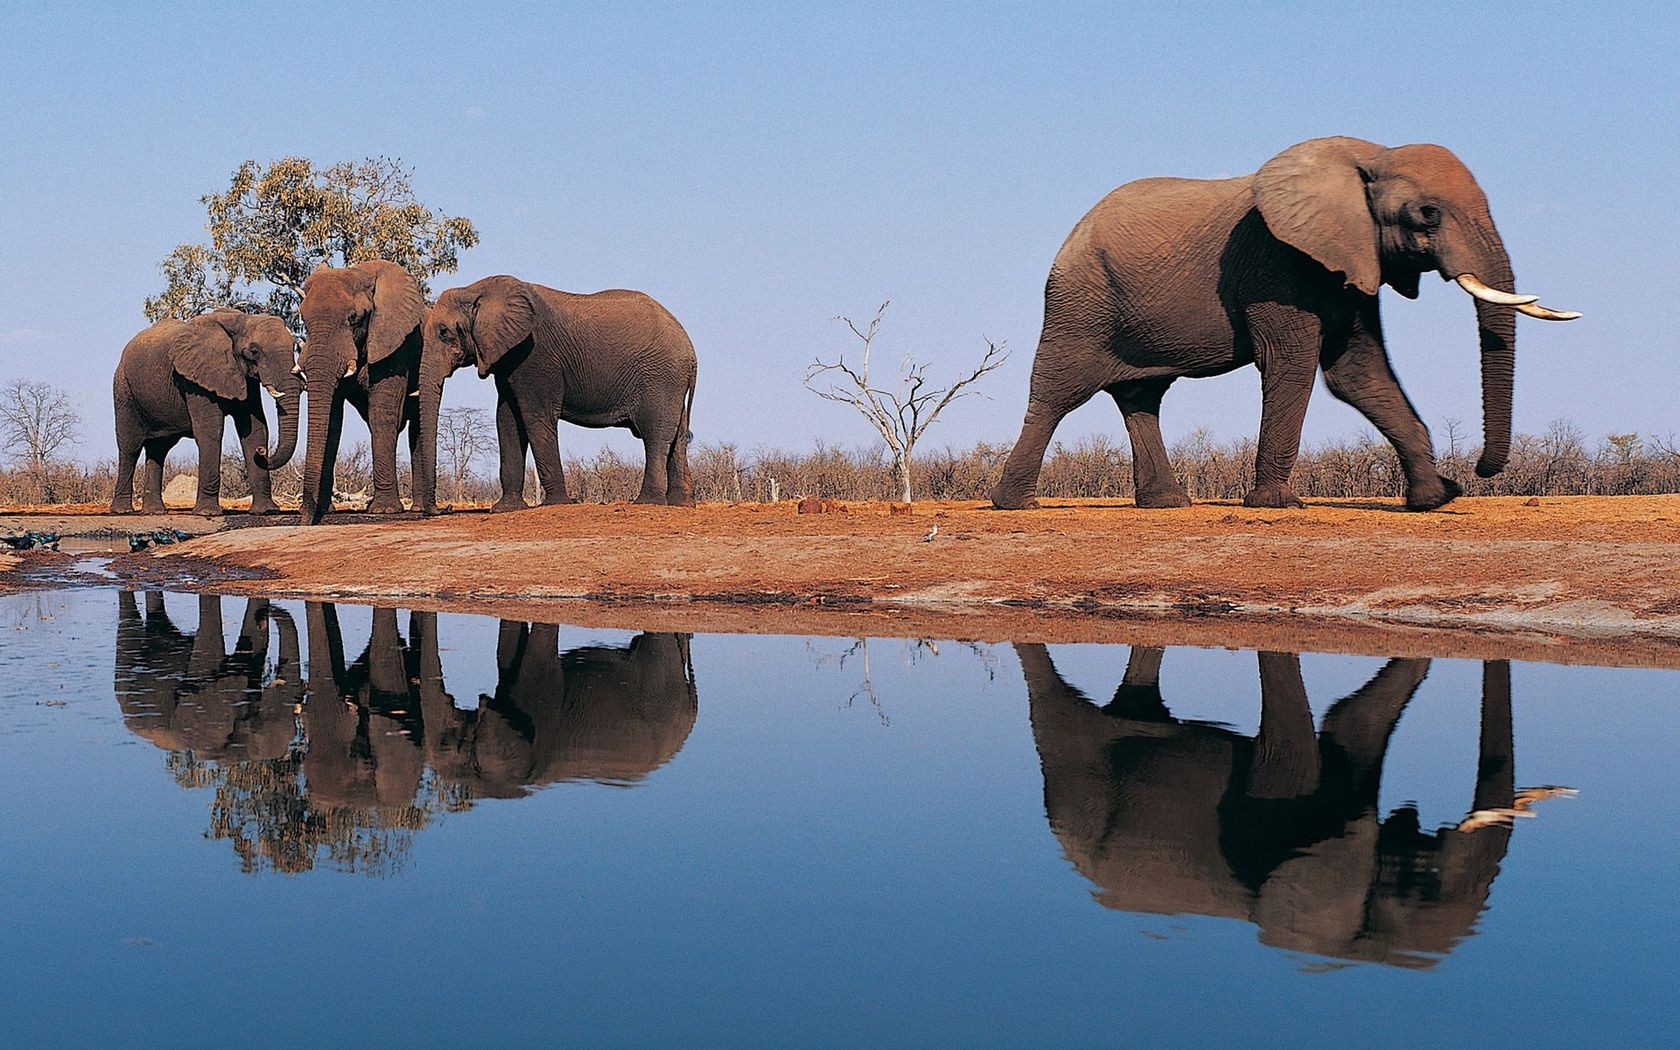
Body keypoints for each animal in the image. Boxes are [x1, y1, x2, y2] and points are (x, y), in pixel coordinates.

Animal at [113, 305, 304, 514]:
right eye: (254, 352)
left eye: (294, 347)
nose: (261, 452)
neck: (241, 319)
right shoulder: (194, 380)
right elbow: (210, 431)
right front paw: (207, 512)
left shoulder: (245, 379)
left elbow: (255, 429)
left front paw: (266, 511)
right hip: (123, 391)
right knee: (129, 447)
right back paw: (122, 511)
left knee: (159, 449)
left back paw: (155, 511)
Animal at [297, 258, 426, 524]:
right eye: (302, 317)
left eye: (354, 317)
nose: (304, 519)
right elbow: (333, 421)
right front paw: (325, 510)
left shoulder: (395, 345)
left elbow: (382, 415)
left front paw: (385, 511)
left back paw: (416, 508)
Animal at [411, 273, 695, 510]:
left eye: (444, 333)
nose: (443, 509)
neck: (476, 290)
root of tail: (691, 350)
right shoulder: (507, 358)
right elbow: (507, 420)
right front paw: (506, 509)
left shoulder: (535, 355)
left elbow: (536, 418)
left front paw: (557, 503)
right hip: (671, 383)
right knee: (678, 436)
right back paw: (681, 505)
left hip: (661, 378)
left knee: (655, 434)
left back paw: (647, 503)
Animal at [987, 136, 1579, 514]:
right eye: (1427, 214)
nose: (1480, 471)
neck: (1368, 158)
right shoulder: (1278, 262)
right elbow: (1291, 364)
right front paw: (1277, 503)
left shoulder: (1348, 263)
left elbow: (1358, 373)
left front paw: (1436, 499)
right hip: (1078, 302)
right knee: (1057, 392)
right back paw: (1017, 505)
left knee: (1143, 396)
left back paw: (1168, 505)